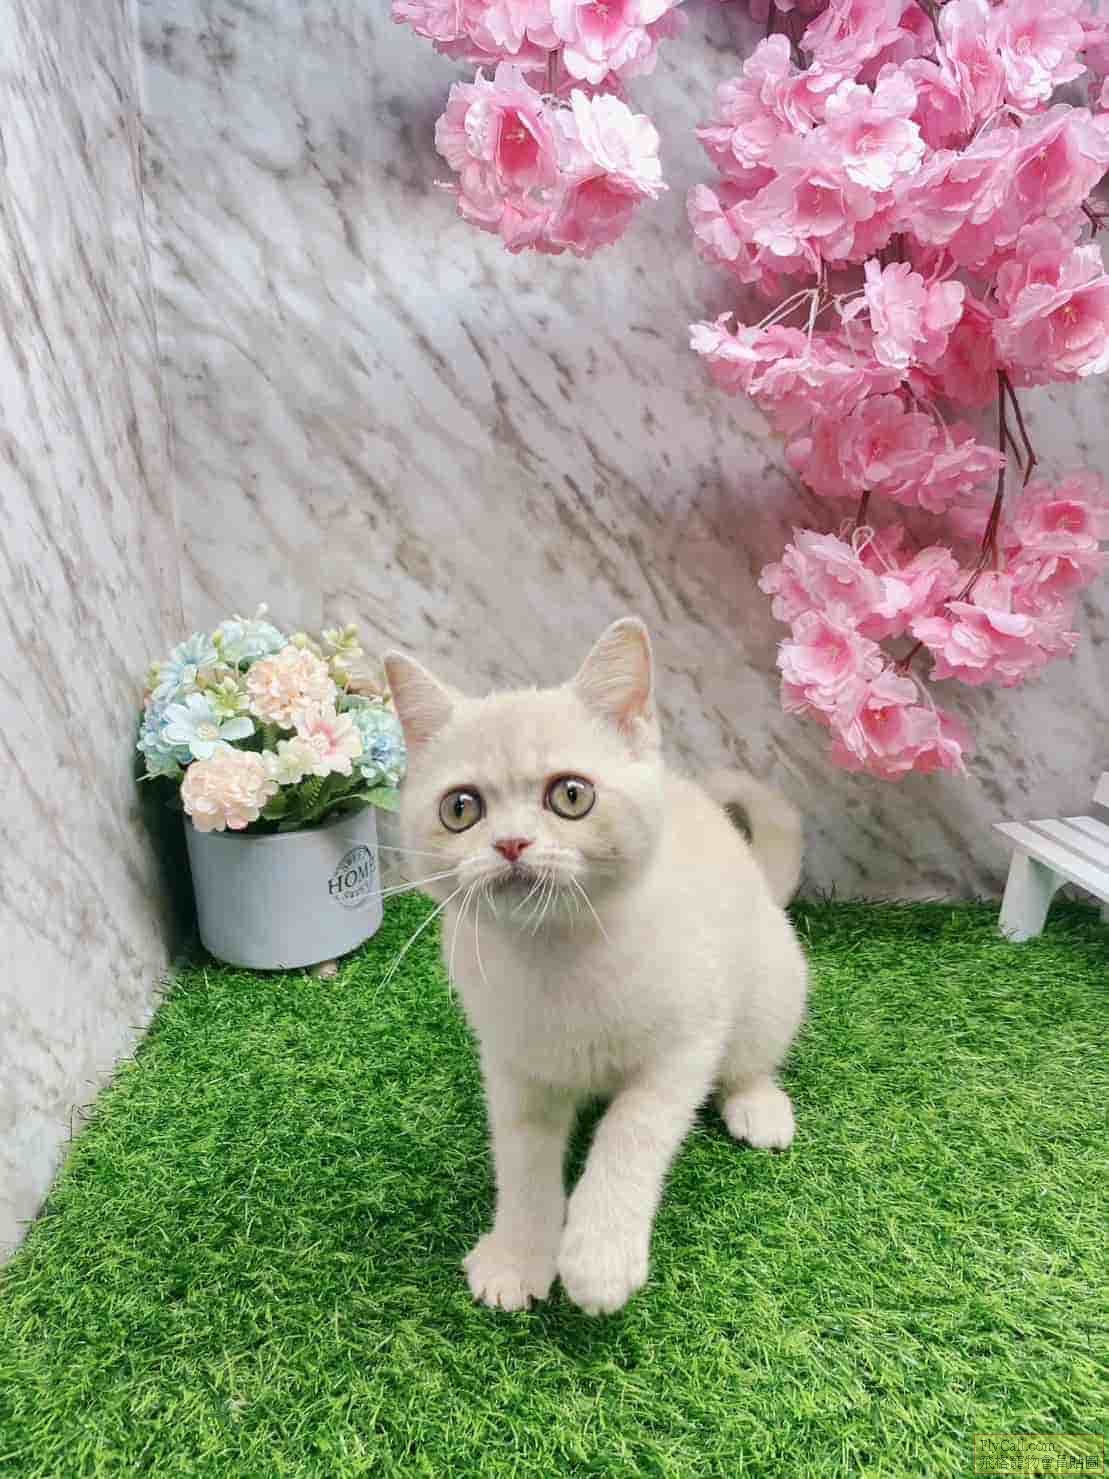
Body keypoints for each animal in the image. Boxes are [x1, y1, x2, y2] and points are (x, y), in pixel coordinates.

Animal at [384, 618, 808, 1316]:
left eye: (571, 796)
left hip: (770, 985)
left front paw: (598, 1257)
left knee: (752, 1056)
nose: (512, 844)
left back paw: (757, 1105)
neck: (556, 953)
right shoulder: (512, 1063)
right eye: (461, 808)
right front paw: (518, 1255)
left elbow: (631, 1136)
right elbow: (523, 1161)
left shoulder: (684, 1047)